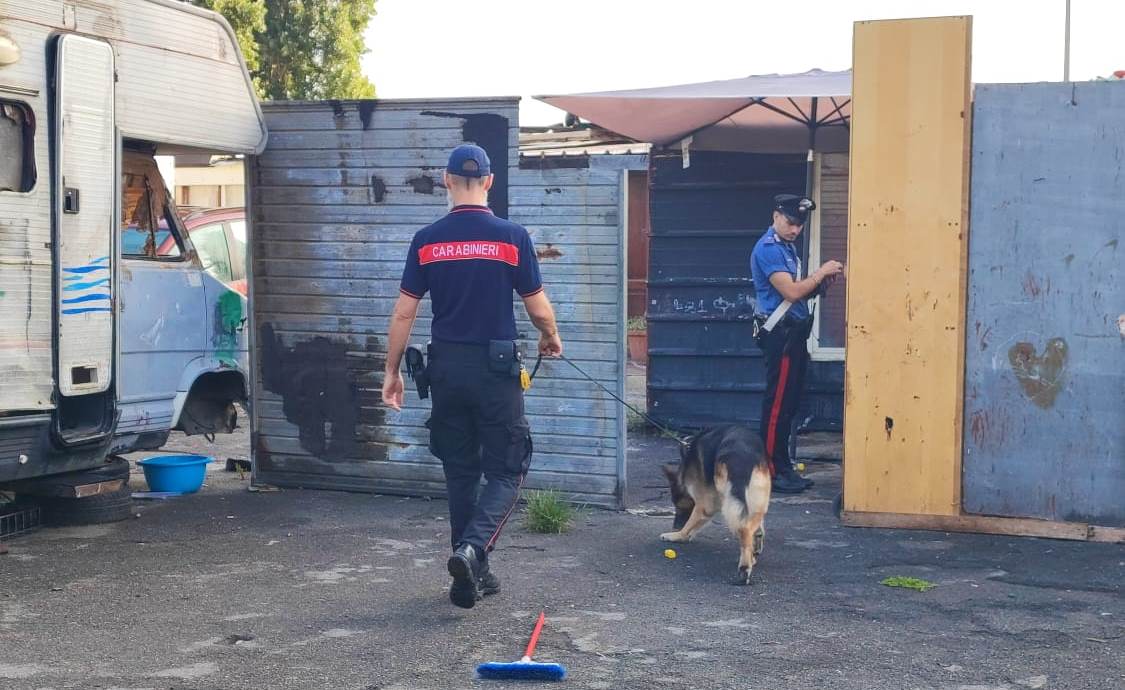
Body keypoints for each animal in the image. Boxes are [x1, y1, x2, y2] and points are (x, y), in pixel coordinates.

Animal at [657, 425, 774, 580]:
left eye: (678, 505)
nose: (675, 527)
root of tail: (742, 457)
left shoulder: (705, 504)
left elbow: (691, 523)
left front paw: (680, 535)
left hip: (728, 503)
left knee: (743, 530)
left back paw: (744, 567)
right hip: (755, 501)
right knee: (751, 527)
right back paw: (752, 556)